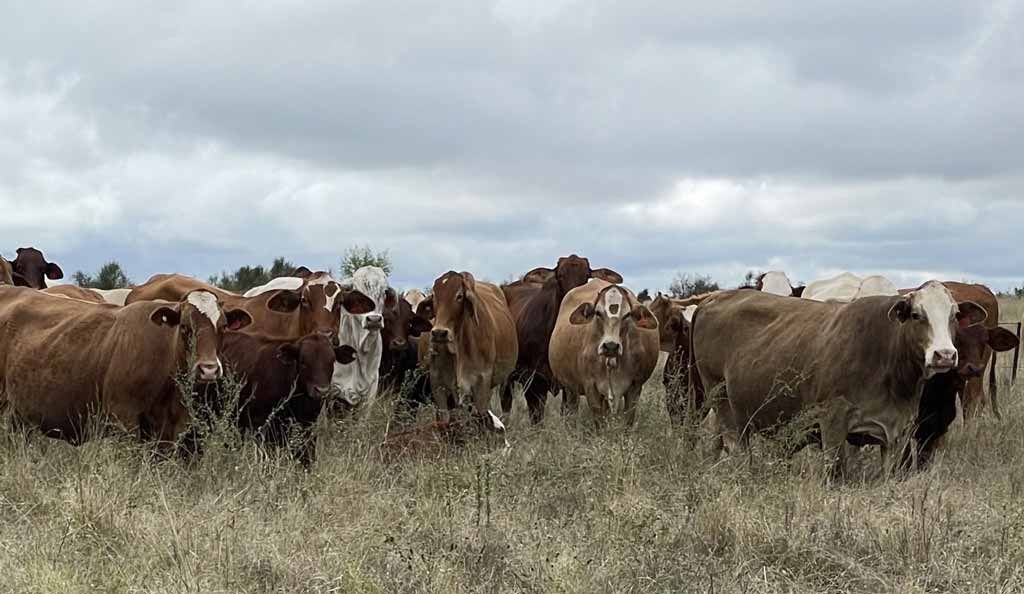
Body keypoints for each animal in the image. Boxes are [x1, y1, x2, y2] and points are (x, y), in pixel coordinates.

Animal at [415, 272, 516, 434]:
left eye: (459, 296)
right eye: (434, 296)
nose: (439, 333)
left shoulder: (482, 384)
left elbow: (482, 417)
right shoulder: (438, 385)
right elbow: (444, 421)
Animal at [548, 280, 659, 426]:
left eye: (627, 315)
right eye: (598, 313)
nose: (611, 346)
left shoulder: (635, 387)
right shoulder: (591, 387)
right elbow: (599, 423)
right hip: (570, 389)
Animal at [688, 280, 983, 479]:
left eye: (954, 315)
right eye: (916, 314)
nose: (945, 355)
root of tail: (713, 298)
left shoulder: (897, 433)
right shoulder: (832, 423)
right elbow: (834, 472)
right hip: (723, 401)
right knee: (735, 446)